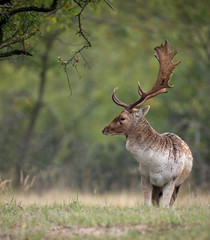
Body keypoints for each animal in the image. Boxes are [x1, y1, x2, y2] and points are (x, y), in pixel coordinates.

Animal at [102, 40, 193, 207]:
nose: (104, 129)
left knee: (171, 203)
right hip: (158, 187)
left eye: (122, 118)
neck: (155, 165)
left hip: (179, 184)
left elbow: (165, 206)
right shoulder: (144, 177)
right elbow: (147, 204)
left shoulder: (171, 180)